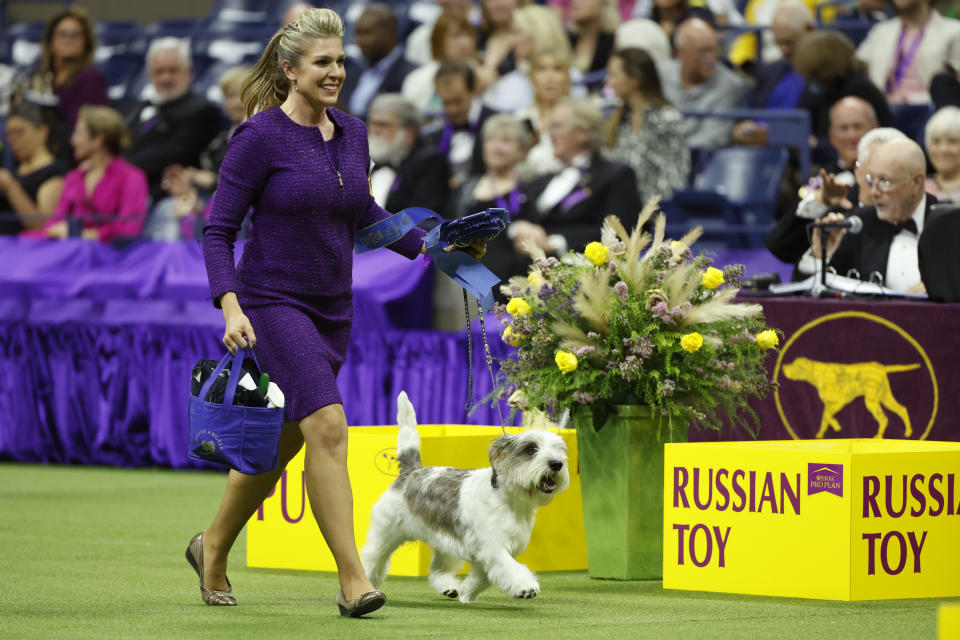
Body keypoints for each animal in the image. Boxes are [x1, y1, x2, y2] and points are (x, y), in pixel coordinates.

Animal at [360, 390, 568, 604]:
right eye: (530, 449)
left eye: (559, 449)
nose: (556, 464)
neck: (508, 499)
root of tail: (411, 471)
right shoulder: (494, 548)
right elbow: (510, 568)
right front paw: (526, 587)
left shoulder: (485, 554)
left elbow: (484, 577)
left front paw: (468, 592)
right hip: (385, 534)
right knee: (372, 557)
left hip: (445, 543)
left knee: (438, 569)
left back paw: (449, 587)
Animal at [784, 358, 920, 438]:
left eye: (796, 365)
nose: (783, 367)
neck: (818, 374)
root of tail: (881, 367)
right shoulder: (828, 404)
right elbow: (824, 419)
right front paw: (820, 435)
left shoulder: (840, 402)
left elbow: (828, 416)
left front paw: (837, 426)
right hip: (885, 398)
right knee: (902, 409)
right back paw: (908, 432)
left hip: (871, 402)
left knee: (884, 418)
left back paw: (878, 436)